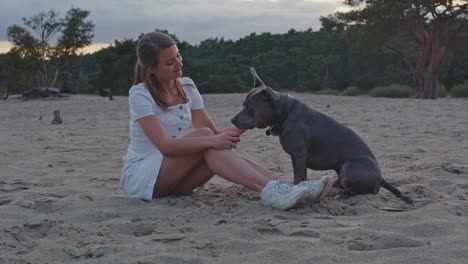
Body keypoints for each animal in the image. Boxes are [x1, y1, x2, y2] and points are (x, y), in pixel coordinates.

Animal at [232, 67, 412, 203]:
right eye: (243, 104)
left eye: (249, 107)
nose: (232, 120)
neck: (284, 113)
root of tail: (381, 177)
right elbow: (302, 178)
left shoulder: (299, 155)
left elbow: (298, 178)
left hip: (349, 167)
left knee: (366, 192)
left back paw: (343, 196)